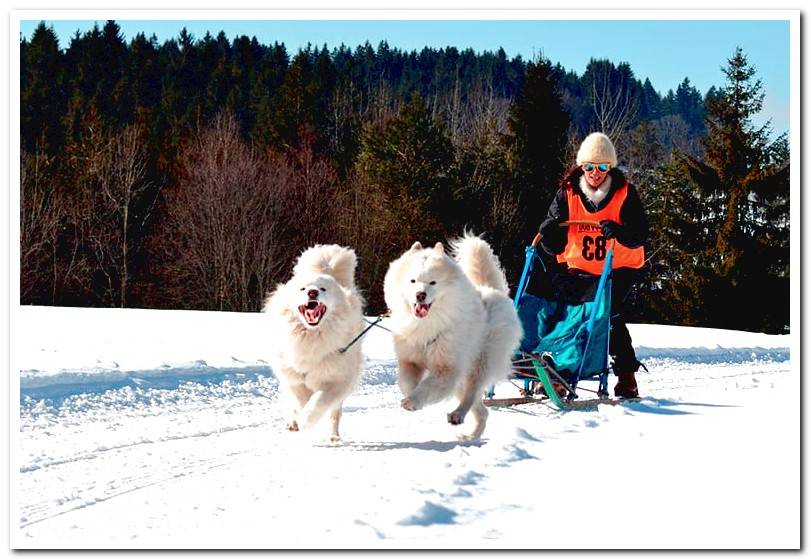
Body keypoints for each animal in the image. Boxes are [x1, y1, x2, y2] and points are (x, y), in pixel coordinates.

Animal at [264, 245, 364, 442]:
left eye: (323, 289)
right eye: (302, 289)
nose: (312, 292)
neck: (310, 336)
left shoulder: (335, 381)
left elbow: (318, 402)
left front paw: (307, 420)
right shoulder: (293, 378)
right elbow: (299, 401)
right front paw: (298, 419)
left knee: (335, 413)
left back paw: (333, 437)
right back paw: (292, 423)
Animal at [384, 234, 524, 440]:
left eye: (433, 282)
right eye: (413, 281)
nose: (420, 295)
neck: (427, 323)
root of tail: (492, 290)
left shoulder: (447, 368)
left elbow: (428, 386)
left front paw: (413, 401)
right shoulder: (410, 359)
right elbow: (407, 383)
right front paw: (411, 396)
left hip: (480, 363)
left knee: (471, 394)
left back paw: (458, 414)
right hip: (464, 377)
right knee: (482, 410)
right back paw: (471, 436)